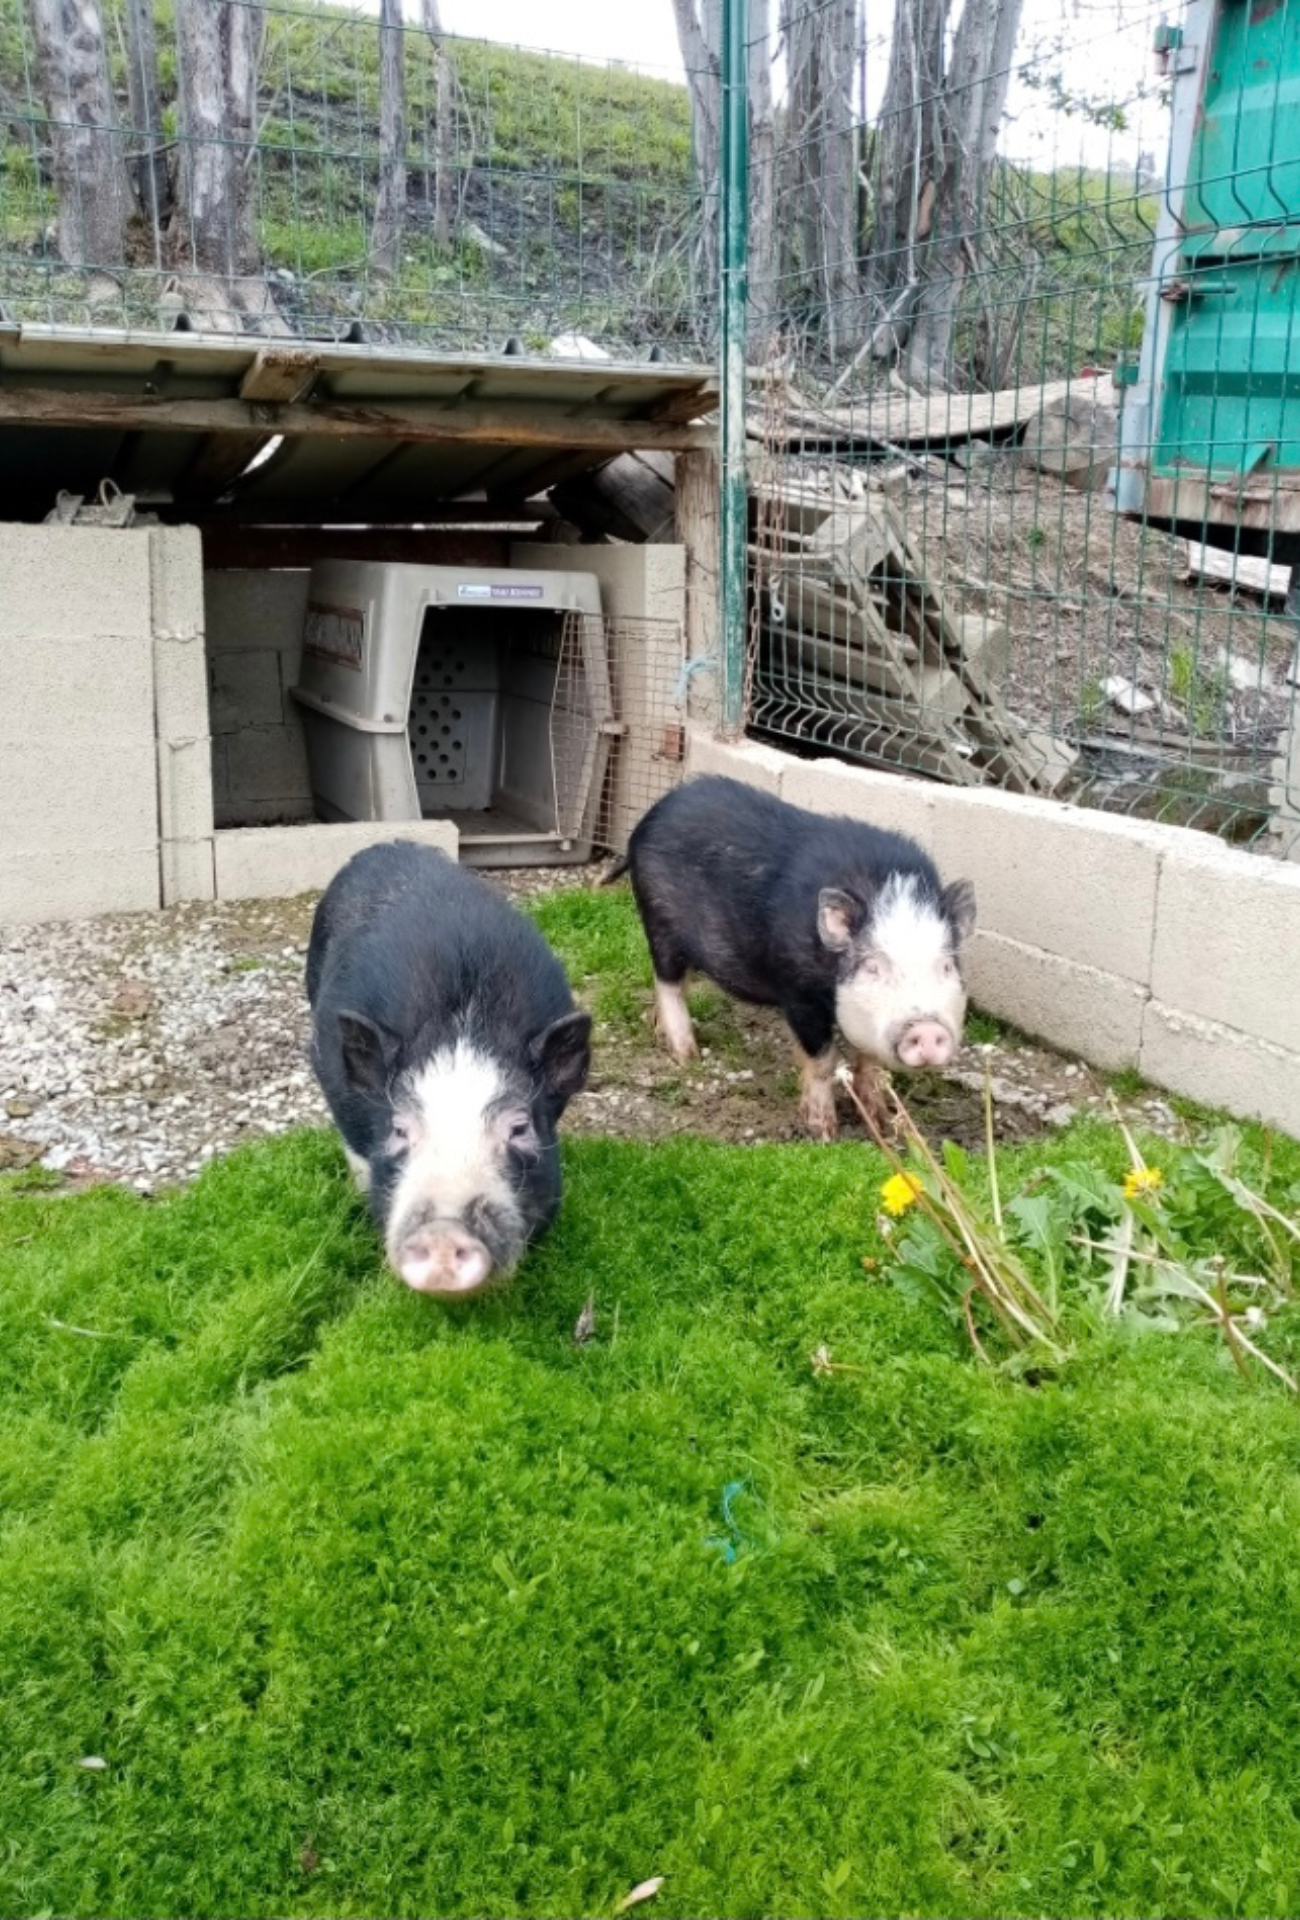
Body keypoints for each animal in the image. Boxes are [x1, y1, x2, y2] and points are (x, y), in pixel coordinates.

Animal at [607, 776, 976, 1139]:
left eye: (946, 966)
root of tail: (649, 818)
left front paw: (884, 1129)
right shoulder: (798, 991)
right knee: (667, 982)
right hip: (658, 919)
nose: (927, 1029)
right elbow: (824, 1060)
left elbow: (869, 1065)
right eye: (872, 967)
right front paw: (824, 1134)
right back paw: (688, 1056)